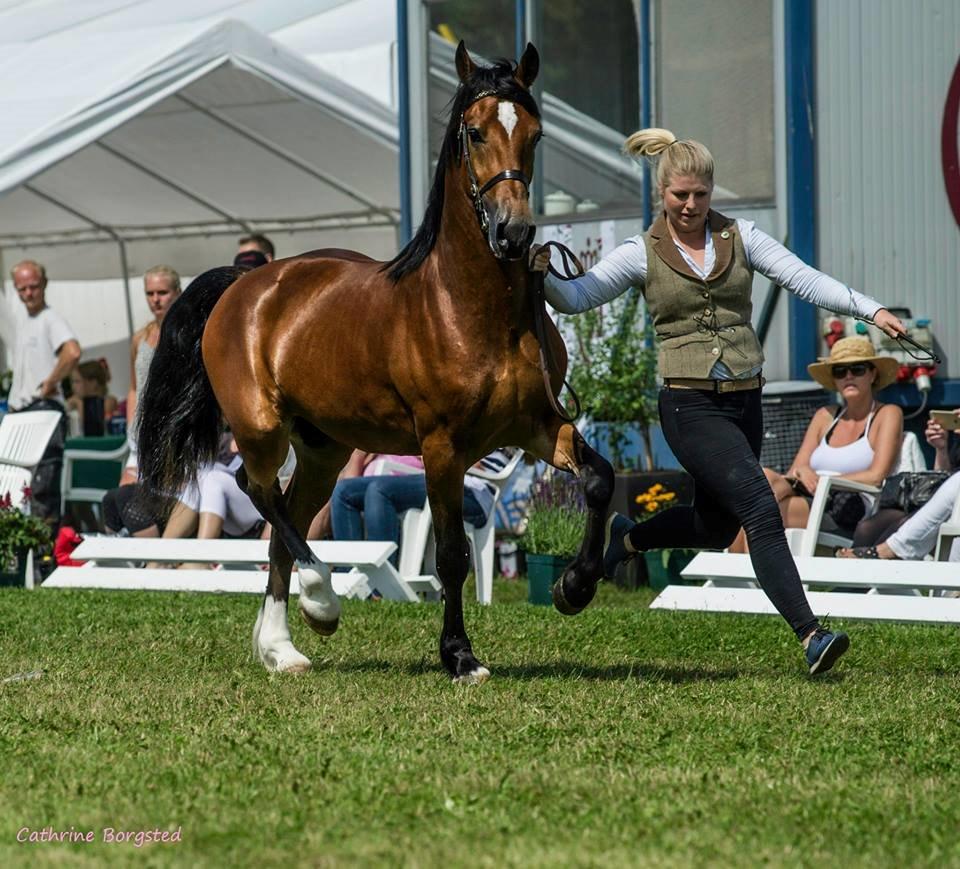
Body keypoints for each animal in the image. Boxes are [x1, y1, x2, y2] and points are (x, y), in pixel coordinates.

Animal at [135, 42, 616, 684]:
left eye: (535, 134)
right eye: (474, 132)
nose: (514, 234)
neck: (473, 310)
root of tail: (246, 281)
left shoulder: (536, 425)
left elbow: (599, 480)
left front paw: (573, 587)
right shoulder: (442, 445)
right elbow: (451, 554)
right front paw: (460, 657)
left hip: (325, 448)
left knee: (283, 520)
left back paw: (281, 649)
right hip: (262, 428)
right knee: (256, 490)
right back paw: (321, 601)